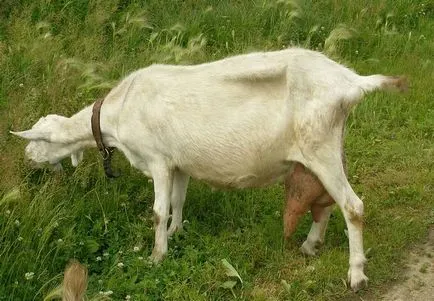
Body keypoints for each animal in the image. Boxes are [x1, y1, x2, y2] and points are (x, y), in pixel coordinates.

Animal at [12, 47, 406, 290]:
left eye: (37, 141)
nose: (26, 161)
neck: (117, 112)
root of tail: (351, 83)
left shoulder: (158, 160)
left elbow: (158, 210)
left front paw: (157, 256)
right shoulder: (178, 163)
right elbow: (178, 202)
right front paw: (176, 233)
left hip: (320, 147)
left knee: (353, 206)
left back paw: (356, 275)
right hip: (327, 149)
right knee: (327, 203)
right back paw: (311, 246)